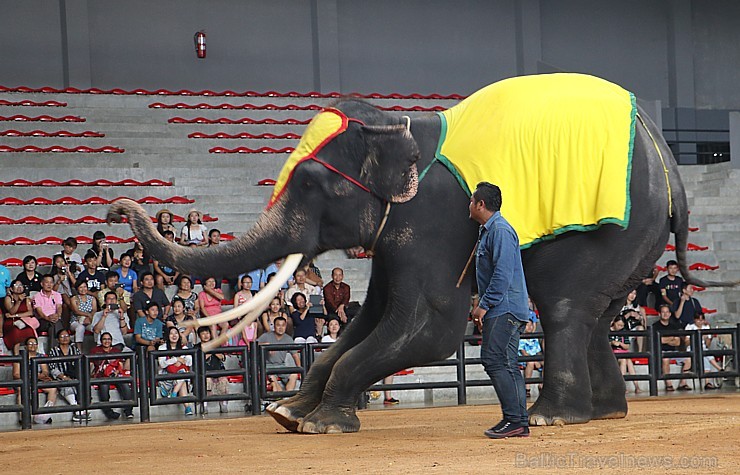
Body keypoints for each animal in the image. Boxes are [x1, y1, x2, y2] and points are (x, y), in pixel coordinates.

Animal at [110, 72, 724, 434]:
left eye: (308, 183)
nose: (116, 210)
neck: (397, 123)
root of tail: (667, 154)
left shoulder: (432, 219)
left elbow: (431, 326)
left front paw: (320, 424)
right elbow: (370, 317)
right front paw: (288, 414)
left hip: (618, 228)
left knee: (564, 308)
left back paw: (553, 417)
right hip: (635, 238)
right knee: (593, 312)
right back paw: (601, 413)